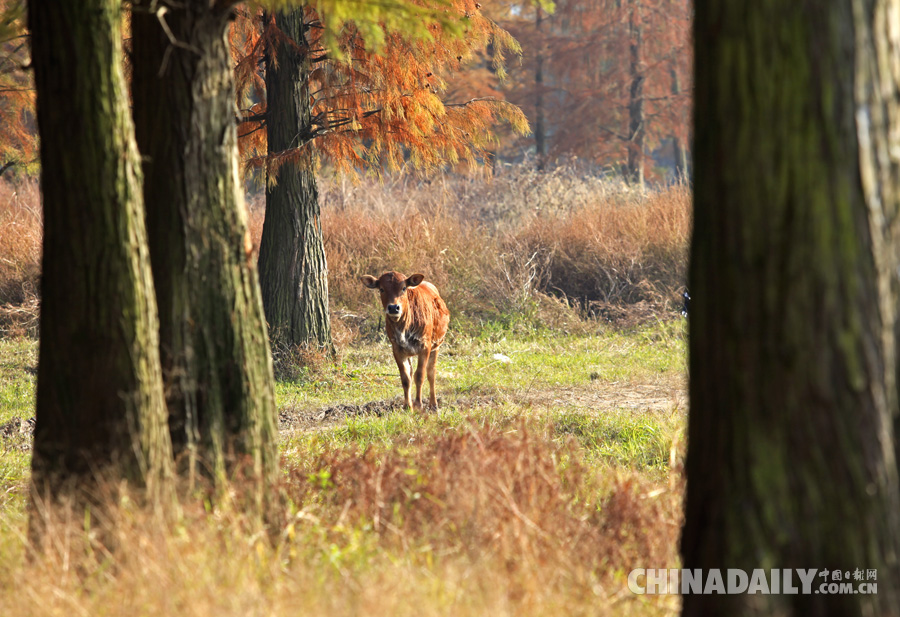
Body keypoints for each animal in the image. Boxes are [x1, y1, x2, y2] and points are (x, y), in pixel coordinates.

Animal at [360, 270, 450, 410]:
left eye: (403, 288)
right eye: (381, 289)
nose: (393, 307)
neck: (404, 327)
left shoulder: (425, 346)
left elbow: (420, 375)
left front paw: (418, 404)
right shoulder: (397, 348)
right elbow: (406, 378)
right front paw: (408, 406)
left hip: (437, 345)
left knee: (431, 373)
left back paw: (433, 404)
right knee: (412, 372)